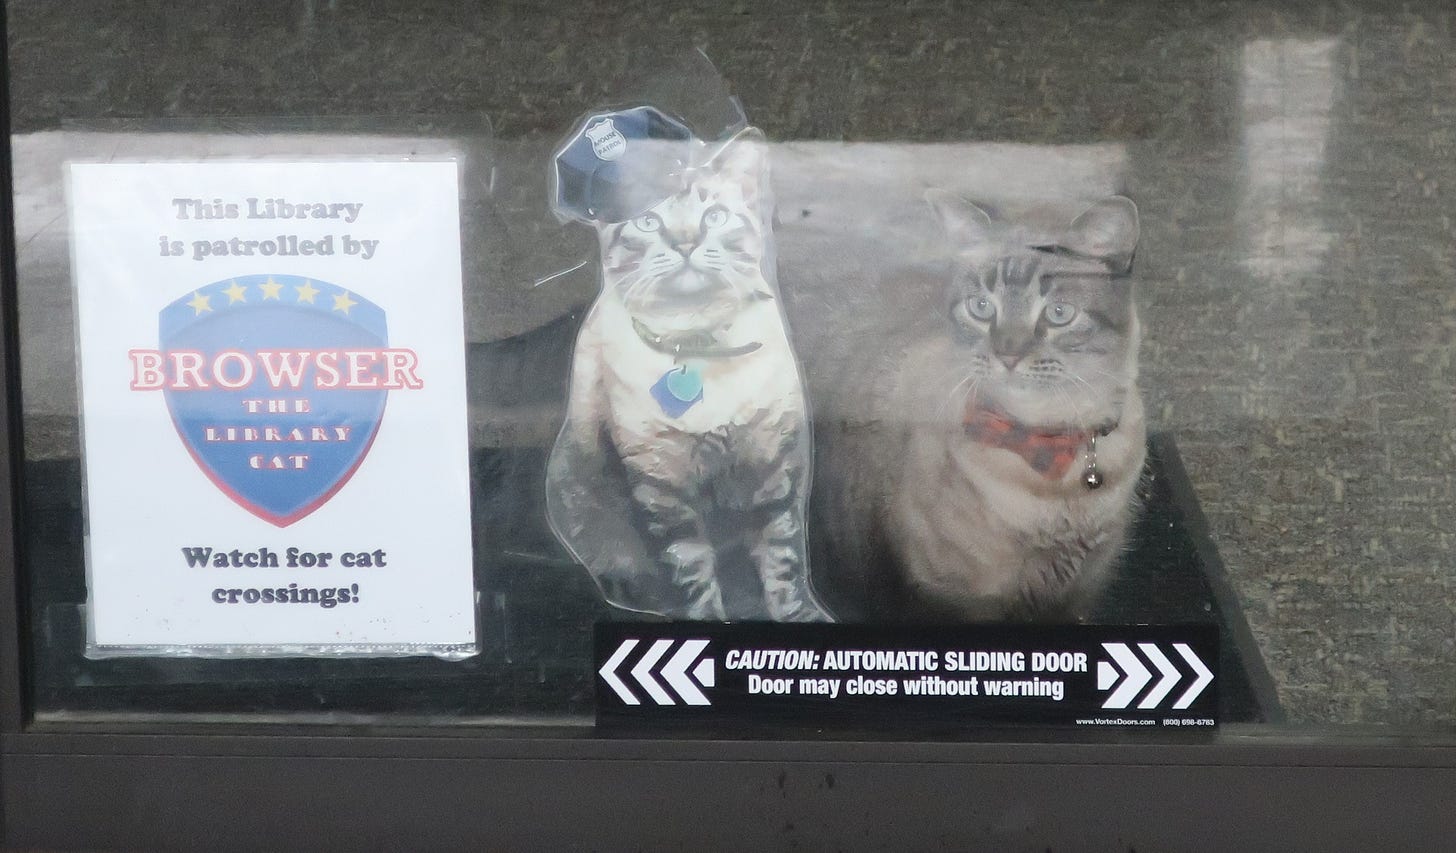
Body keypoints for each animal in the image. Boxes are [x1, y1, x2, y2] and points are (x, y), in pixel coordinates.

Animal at [545, 128, 830, 622]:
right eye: (648, 222)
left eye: (714, 216)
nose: (684, 243)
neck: (698, 345)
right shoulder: (659, 485)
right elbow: (691, 576)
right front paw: (707, 618)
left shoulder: (774, 465)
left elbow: (784, 562)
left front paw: (801, 616)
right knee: (624, 568)